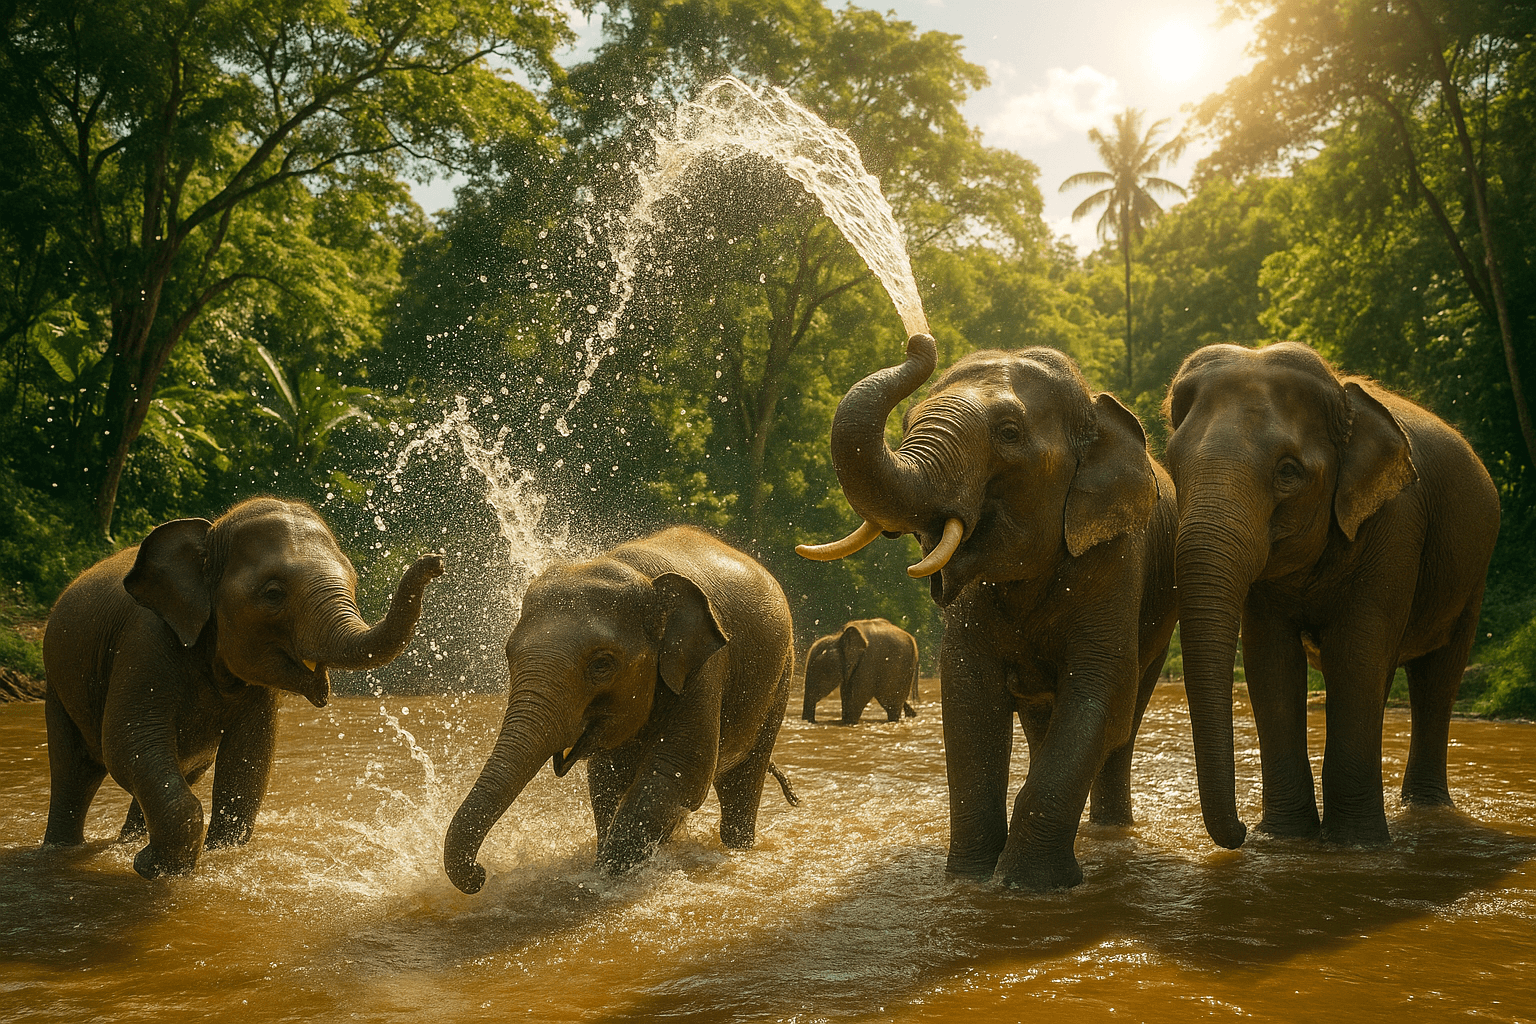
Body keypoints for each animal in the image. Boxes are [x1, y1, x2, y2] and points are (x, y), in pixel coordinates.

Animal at [41, 496, 444, 878]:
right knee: (76, 770)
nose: (435, 562)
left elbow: (248, 760)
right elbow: (128, 743)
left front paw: (212, 856)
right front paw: (151, 868)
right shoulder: (144, 641)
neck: (209, 537)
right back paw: (68, 851)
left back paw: (128, 843)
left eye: (354, 582)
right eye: (273, 593)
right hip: (56, 683)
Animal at [443, 526, 799, 894]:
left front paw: (611, 878)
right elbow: (605, 779)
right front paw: (607, 868)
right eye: (509, 654)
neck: (638, 573)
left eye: (602, 664)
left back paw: (737, 849)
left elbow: (679, 771)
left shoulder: (706, 668)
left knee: (743, 779)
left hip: (782, 675)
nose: (481, 874)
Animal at [799, 333, 1178, 889]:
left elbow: (1100, 688)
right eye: (907, 422)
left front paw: (1030, 886)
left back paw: (1110, 832)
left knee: (1125, 716)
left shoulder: (1116, 553)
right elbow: (970, 698)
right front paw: (970, 880)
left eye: (1009, 433)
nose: (919, 339)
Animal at [1163, 342, 1500, 849]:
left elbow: (1356, 653)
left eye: (1288, 472)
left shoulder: (1397, 520)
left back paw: (1426, 809)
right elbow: (1271, 661)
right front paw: (1283, 840)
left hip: (1471, 573)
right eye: (1172, 466)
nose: (1239, 832)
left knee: (1437, 676)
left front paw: (1354, 845)